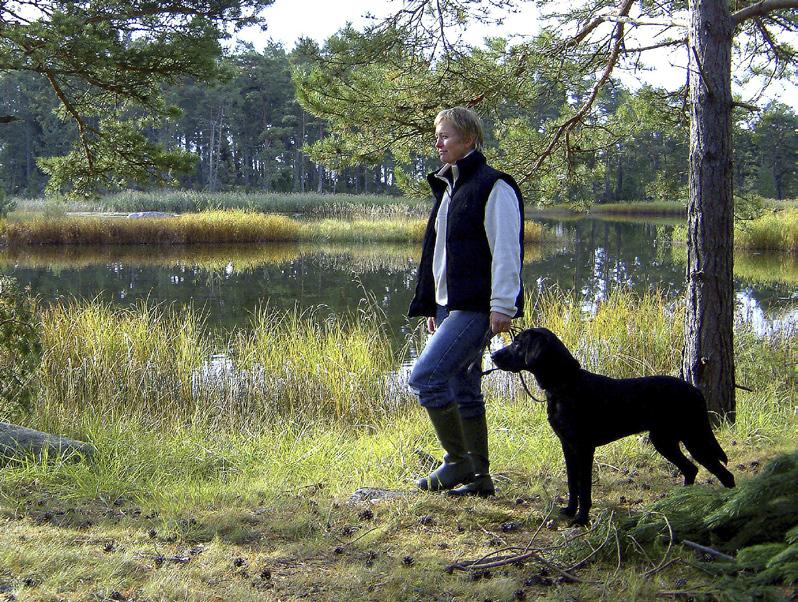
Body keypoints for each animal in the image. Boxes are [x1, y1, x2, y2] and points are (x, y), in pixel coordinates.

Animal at [494, 326, 736, 524]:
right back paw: (680, 501)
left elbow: (584, 486)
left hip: (694, 437)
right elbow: (572, 483)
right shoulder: (567, 445)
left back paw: (728, 508)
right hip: (664, 440)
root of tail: (696, 391)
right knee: (691, 469)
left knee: (724, 475)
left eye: (517, 343)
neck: (565, 386)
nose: (493, 355)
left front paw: (581, 519)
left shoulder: (584, 447)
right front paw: (570, 511)